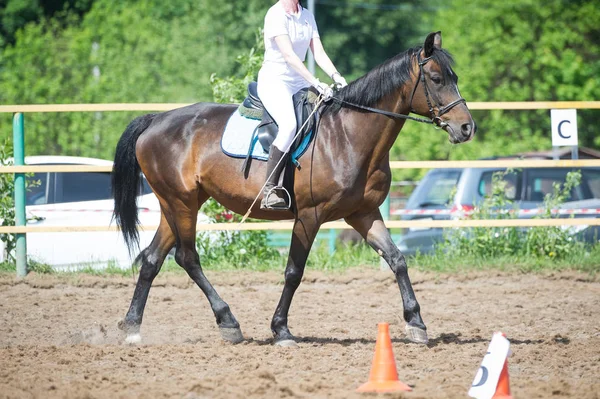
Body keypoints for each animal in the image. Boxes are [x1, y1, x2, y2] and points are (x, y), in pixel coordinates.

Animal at [112, 32, 476, 346]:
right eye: (436, 78)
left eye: (455, 76)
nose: (466, 128)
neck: (348, 134)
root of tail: (157, 119)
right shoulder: (309, 216)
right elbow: (294, 272)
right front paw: (281, 330)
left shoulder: (363, 213)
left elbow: (397, 259)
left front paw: (416, 323)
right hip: (182, 203)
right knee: (187, 257)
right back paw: (228, 321)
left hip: (175, 204)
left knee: (152, 259)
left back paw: (132, 326)